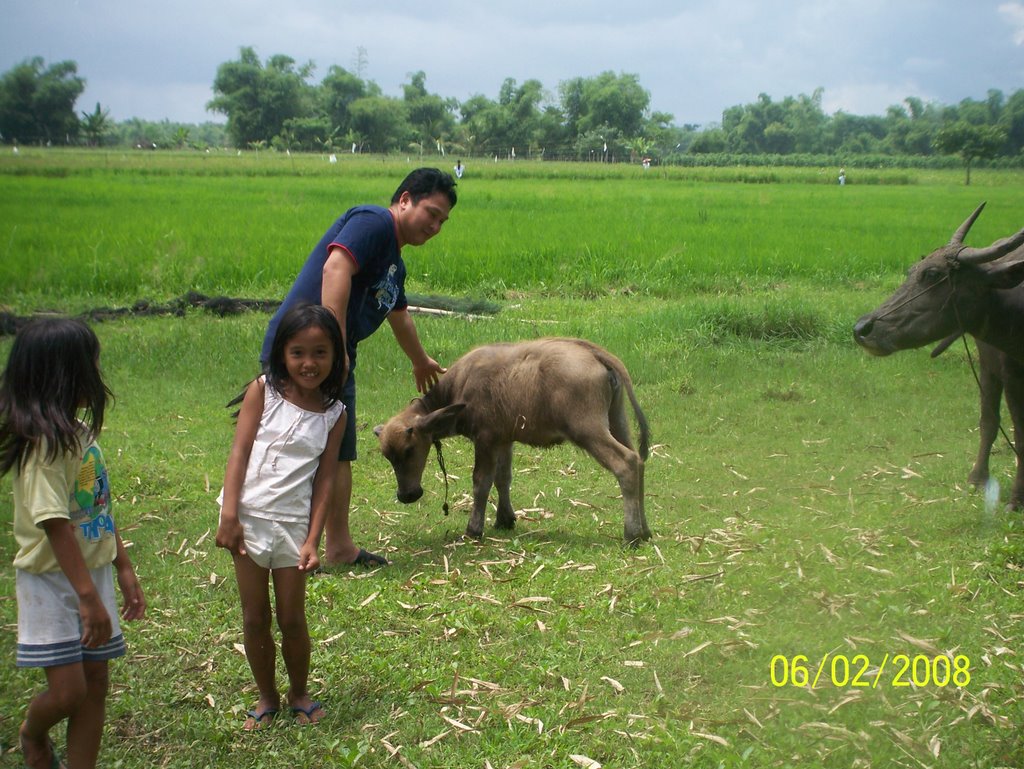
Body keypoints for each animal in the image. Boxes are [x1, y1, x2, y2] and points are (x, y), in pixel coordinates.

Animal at [372, 339, 651, 544]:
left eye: (409, 450)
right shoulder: (503, 440)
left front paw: (474, 528)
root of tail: (595, 353)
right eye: (387, 456)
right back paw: (645, 530)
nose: (407, 495)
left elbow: (481, 482)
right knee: (639, 461)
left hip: (588, 429)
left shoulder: (485, 439)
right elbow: (503, 478)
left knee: (626, 463)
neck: (461, 384)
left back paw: (631, 534)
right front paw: (504, 519)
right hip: (618, 421)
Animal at [851, 201, 1024, 507]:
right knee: (989, 419)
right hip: (988, 364)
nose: (863, 328)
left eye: (932, 274)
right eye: (911, 271)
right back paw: (977, 478)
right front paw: (1017, 499)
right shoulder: (1011, 371)